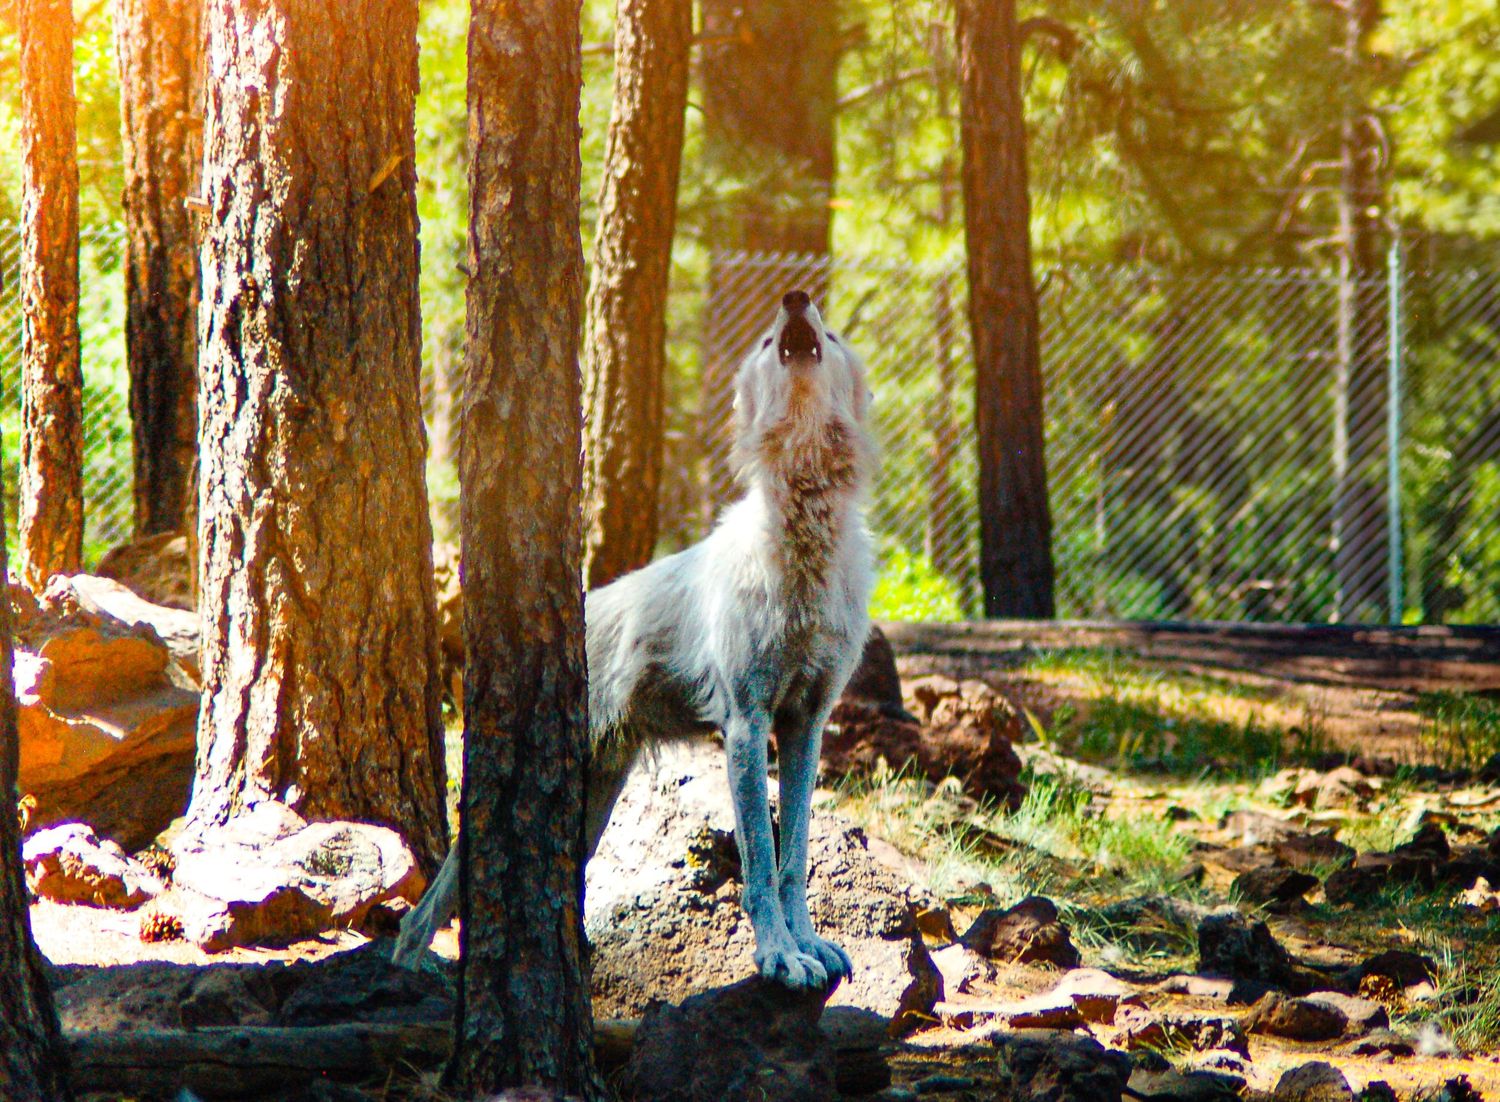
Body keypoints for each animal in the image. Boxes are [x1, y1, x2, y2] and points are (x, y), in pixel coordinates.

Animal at [393, 290, 875, 990]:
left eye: (830, 337)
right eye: (766, 343)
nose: (794, 299)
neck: (803, 534)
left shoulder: (806, 724)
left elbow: (793, 860)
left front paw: (808, 944)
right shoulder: (747, 723)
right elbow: (759, 864)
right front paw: (778, 957)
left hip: (593, 801)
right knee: (424, 908)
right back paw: (412, 973)